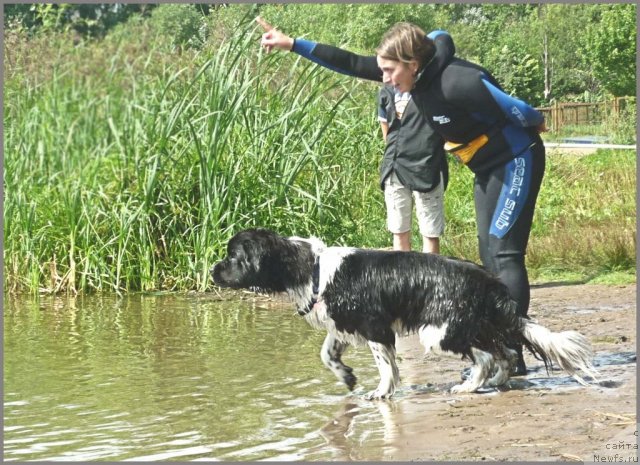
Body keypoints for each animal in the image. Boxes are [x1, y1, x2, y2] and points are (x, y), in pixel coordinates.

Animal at [212, 228, 596, 398]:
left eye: (232, 257)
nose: (214, 271)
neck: (313, 269)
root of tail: (487, 280)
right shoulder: (345, 325)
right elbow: (327, 353)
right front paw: (347, 377)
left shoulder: (376, 328)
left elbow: (386, 366)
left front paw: (381, 392)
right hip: (473, 325)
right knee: (505, 353)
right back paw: (496, 383)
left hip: (439, 331)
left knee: (487, 357)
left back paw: (468, 386)